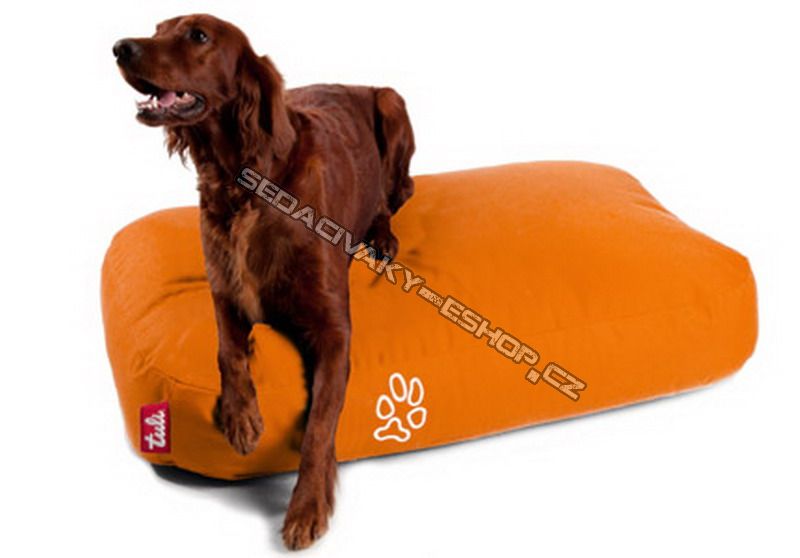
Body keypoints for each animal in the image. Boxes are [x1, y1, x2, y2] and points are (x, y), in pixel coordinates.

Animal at [114, 13, 414, 549]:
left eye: (198, 35)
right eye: (158, 27)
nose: (120, 48)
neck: (245, 182)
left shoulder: (334, 329)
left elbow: (319, 425)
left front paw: (306, 508)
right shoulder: (223, 293)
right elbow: (228, 351)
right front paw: (242, 418)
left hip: (391, 102)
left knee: (392, 196)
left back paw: (381, 236)